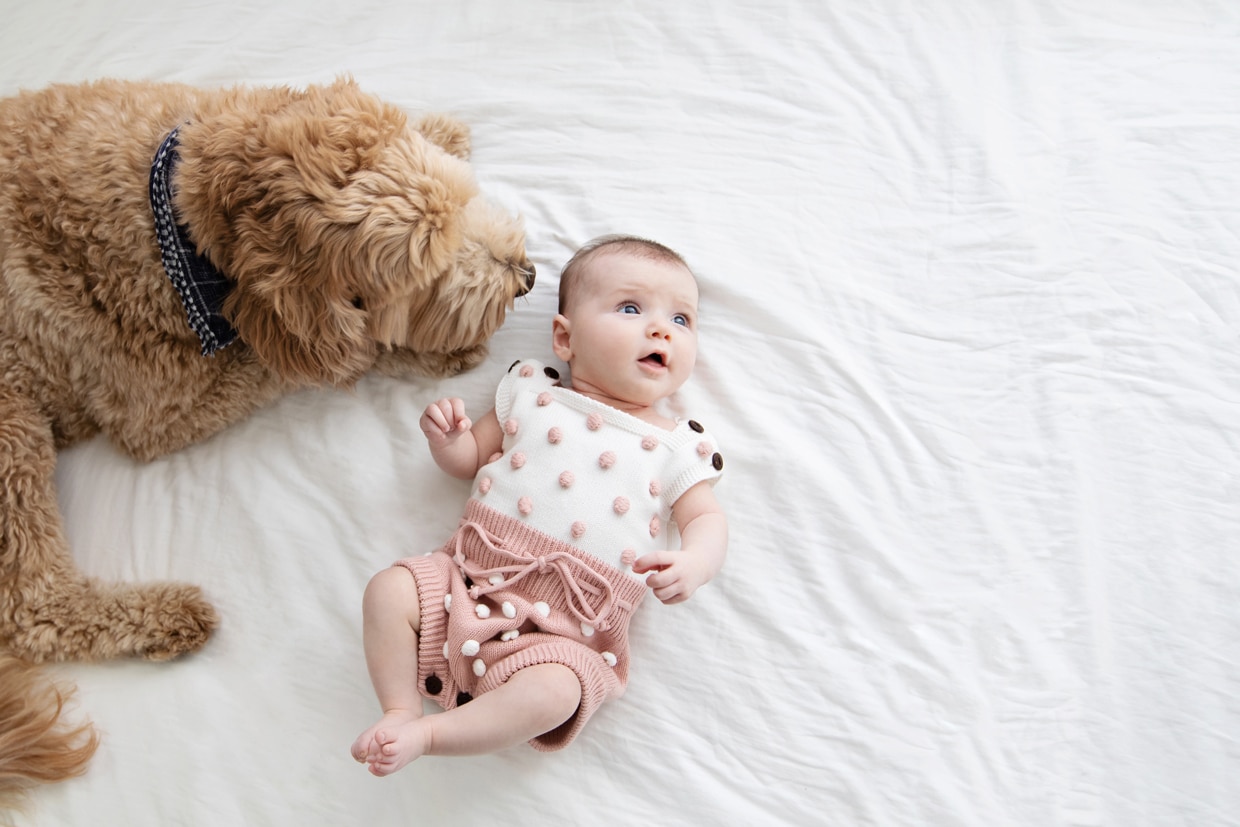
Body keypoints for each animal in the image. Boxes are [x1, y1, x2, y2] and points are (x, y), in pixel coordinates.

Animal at [0, 77, 533, 803]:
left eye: (462, 206)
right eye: (423, 272)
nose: (526, 275)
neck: (172, 218)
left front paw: (437, 130)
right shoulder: (154, 413)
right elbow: (314, 361)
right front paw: (419, 353)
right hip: (12, 423)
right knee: (32, 605)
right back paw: (169, 614)